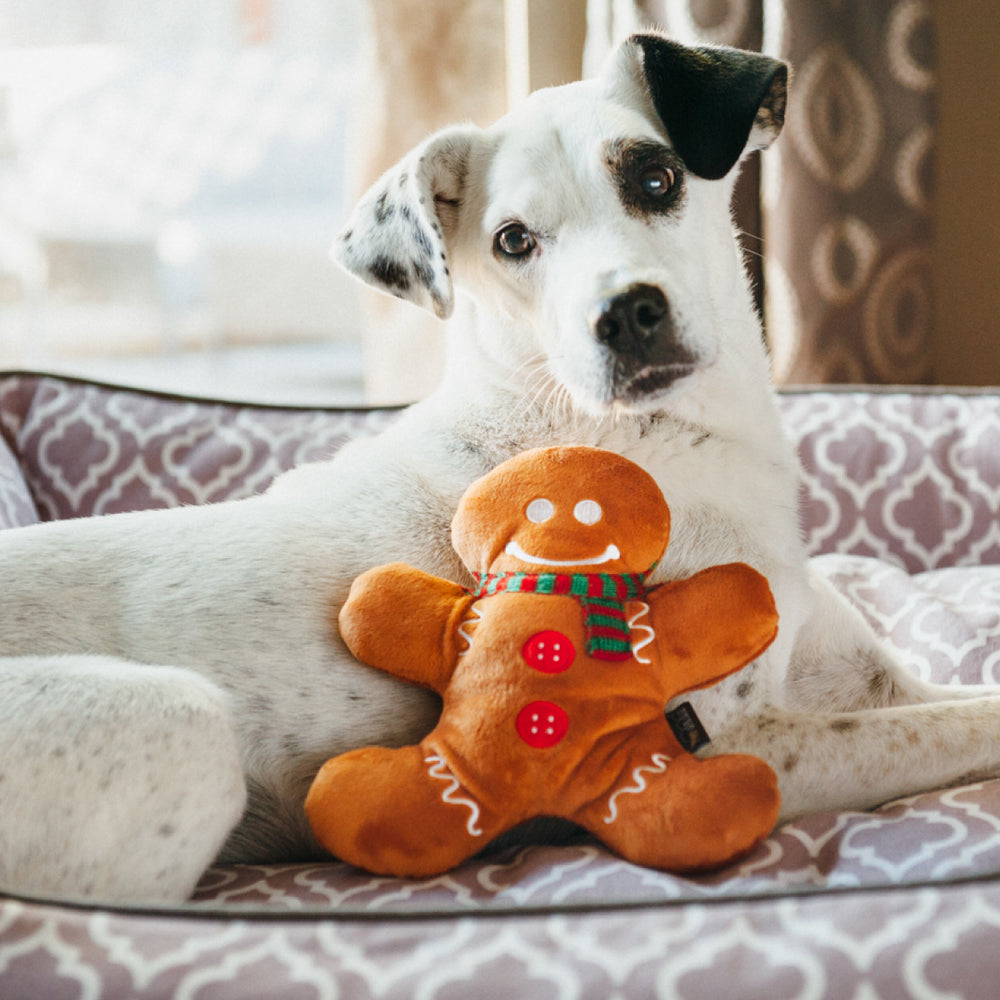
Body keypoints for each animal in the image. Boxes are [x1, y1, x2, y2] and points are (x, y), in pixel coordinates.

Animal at [1, 33, 1000, 908]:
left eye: (655, 177)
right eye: (515, 241)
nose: (627, 315)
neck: (653, 438)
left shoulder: (865, 679)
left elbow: (957, 695)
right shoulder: (736, 747)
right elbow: (970, 721)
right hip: (182, 727)